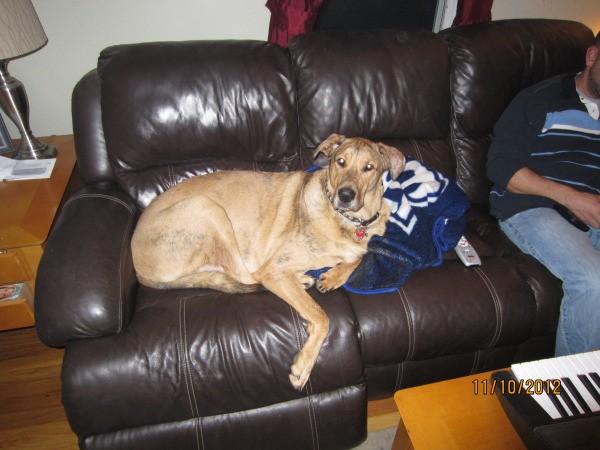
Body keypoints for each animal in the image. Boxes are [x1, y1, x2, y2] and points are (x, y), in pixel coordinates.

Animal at [131, 134, 404, 390]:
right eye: (340, 162)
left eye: (369, 168)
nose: (345, 195)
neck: (348, 221)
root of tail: (137, 264)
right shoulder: (273, 269)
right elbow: (321, 316)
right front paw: (303, 365)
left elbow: (359, 255)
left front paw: (333, 276)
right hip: (207, 208)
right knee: (245, 275)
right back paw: (301, 280)